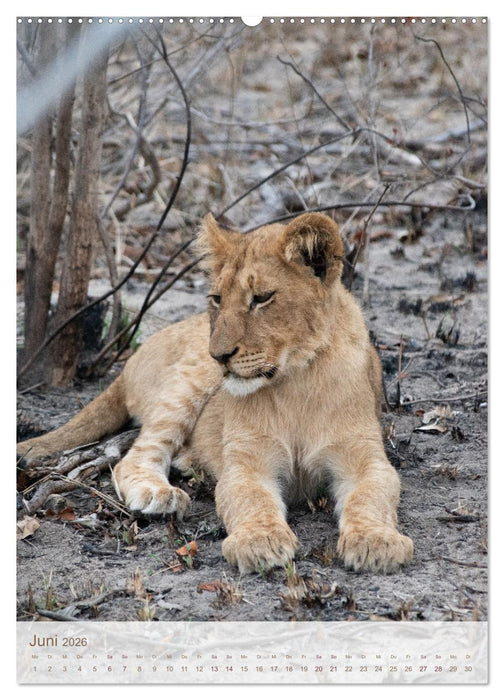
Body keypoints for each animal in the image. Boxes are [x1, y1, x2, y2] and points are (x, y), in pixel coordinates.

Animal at [17, 212, 413, 574]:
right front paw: (260, 541)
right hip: (187, 383)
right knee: (135, 455)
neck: (295, 381)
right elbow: (251, 499)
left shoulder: (364, 457)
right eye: (217, 298)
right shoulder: (245, 462)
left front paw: (376, 541)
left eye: (261, 298)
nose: (219, 355)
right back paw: (158, 493)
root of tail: (131, 360)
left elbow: (371, 495)